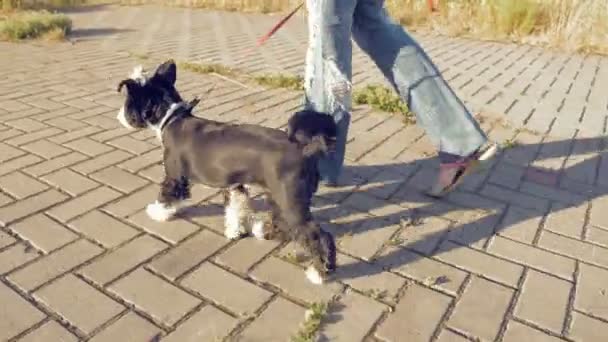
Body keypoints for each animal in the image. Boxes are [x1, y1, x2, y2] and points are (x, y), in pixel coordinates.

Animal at [116, 59, 338, 284]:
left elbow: (167, 194)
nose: (119, 116)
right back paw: (263, 231)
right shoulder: (235, 186)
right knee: (281, 220)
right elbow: (235, 209)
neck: (173, 119)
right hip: (279, 196)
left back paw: (319, 272)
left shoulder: (175, 176)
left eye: (128, 102)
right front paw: (234, 231)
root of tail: (305, 148)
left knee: (318, 235)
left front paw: (157, 212)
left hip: (290, 200)